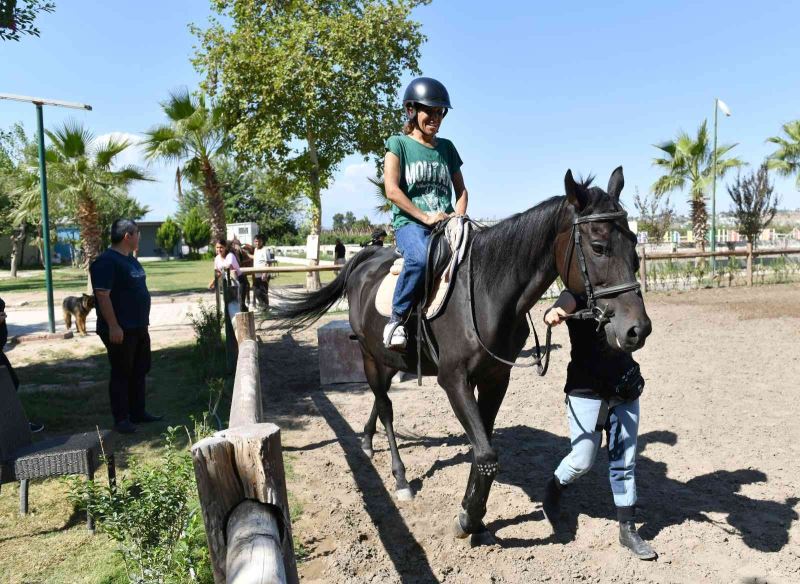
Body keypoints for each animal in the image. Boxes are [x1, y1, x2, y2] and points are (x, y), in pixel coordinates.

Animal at [274, 168, 648, 540]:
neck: (485, 293)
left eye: (634, 245)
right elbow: (485, 452)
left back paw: (366, 440)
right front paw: (468, 518)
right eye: (598, 247)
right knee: (386, 407)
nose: (637, 329)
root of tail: (365, 260)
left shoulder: (496, 378)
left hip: (392, 360)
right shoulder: (454, 380)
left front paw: (475, 515)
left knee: (380, 403)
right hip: (369, 356)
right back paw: (400, 478)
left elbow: (484, 447)